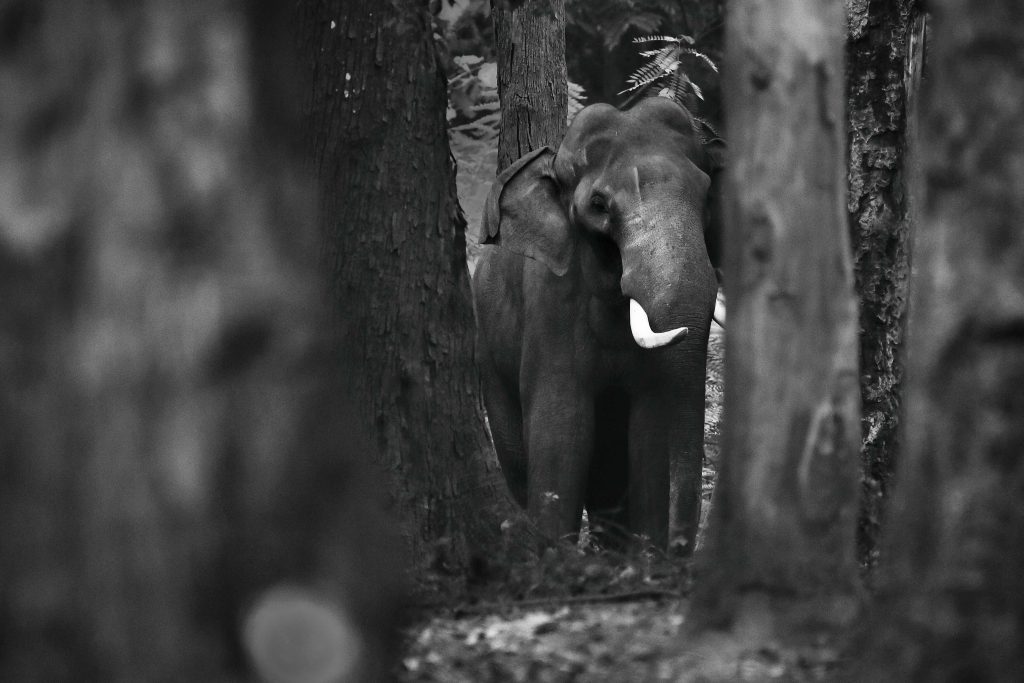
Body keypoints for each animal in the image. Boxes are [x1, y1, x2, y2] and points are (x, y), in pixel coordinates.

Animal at [472, 97, 725, 552]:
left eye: (706, 193)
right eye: (599, 205)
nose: (680, 550)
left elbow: (651, 426)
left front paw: (644, 556)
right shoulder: (550, 307)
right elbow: (561, 427)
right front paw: (554, 554)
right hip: (488, 353)